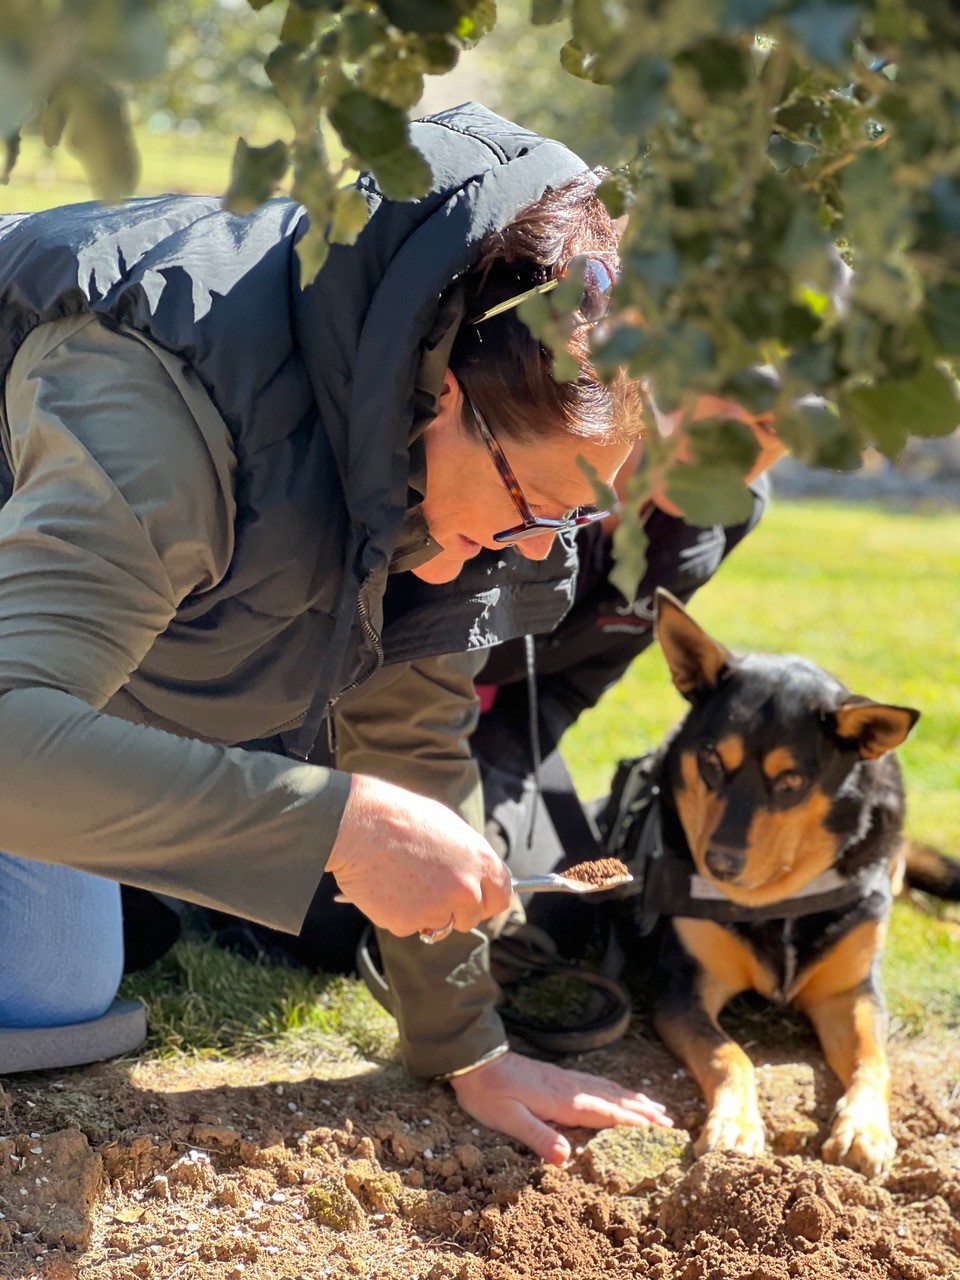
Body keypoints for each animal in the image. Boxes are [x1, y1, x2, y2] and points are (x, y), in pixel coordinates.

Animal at [616, 588, 957, 1177]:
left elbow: (874, 1058)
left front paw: (865, 1127)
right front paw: (734, 1126)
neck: (778, 898)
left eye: (791, 781)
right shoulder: (683, 988)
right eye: (711, 761)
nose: (720, 863)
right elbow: (730, 1054)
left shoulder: (852, 991)